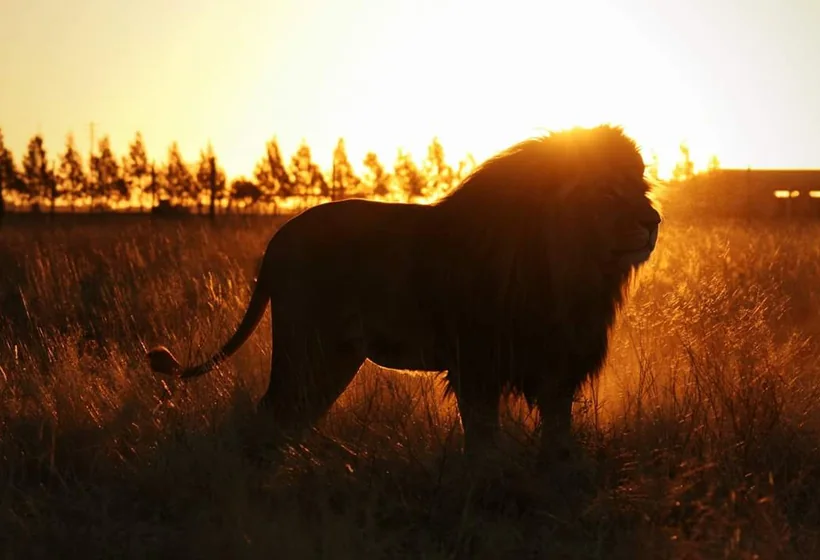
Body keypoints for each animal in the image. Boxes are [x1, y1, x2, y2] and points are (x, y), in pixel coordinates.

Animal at [147, 124, 661, 463]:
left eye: (641, 187)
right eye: (608, 192)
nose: (654, 221)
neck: (575, 269)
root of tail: (279, 238)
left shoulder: (558, 369)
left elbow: (557, 439)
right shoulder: (476, 363)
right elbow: (483, 440)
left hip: (336, 358)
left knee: (292, 415)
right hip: (308, 348)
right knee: (274, 410)